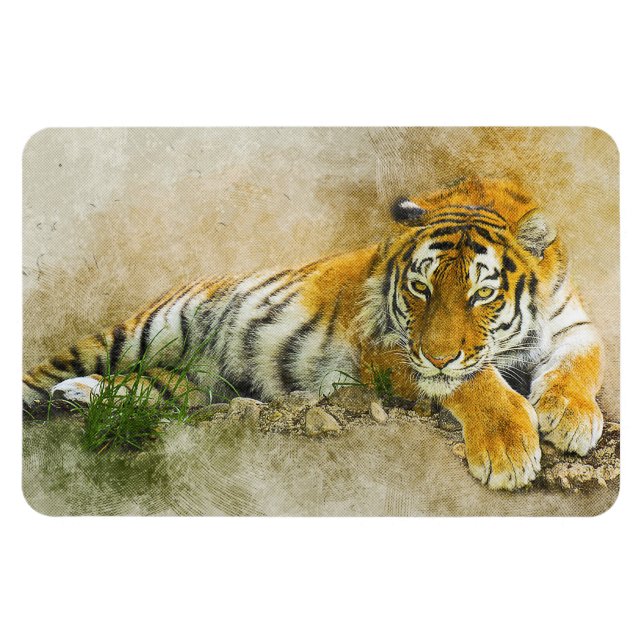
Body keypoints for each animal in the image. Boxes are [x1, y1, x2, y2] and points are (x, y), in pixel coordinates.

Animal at [23, 178, 604, 490]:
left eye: (482, 294)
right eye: (420, 287)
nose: (438, 355)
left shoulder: (574, 325)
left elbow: (581, 366)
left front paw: (571, 417)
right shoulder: (389, 348)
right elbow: (475, 381)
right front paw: (509, 449)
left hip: (195, 384)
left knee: (149, 389)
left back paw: (77, 396)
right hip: (140, 333)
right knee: (45, 372)